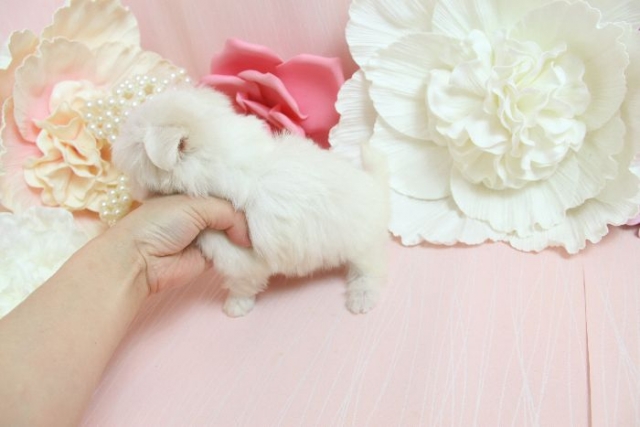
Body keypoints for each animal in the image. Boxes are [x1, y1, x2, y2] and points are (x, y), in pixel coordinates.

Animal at [112, 85, 389, 317]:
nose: (134, 192)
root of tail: (375, 186)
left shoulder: (235, 255)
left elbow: (241, 282)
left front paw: (235, 306)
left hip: (361, 241)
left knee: (370, 266)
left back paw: (362, 295)